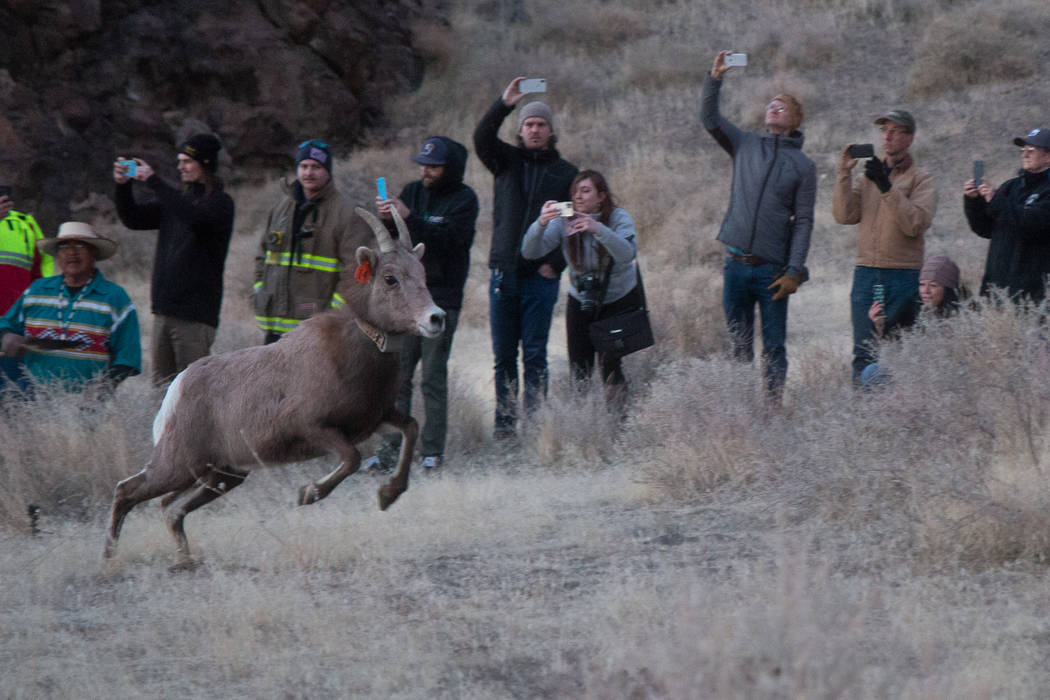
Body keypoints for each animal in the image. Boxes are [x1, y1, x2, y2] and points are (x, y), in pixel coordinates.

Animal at [100, 207, 440, 562]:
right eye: (390, 278)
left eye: (422, 274)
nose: (436, 319)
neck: (352, 355)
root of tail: (176, 388)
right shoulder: (315, 429)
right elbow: (352, 459)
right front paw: (307, 494)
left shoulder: (378, 419)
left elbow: (411, 429)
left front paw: (388, 496)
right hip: (180, 466)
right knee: (127, 491)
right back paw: (109, 559)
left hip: (221, 474)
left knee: (170, 508)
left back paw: (184, 561)